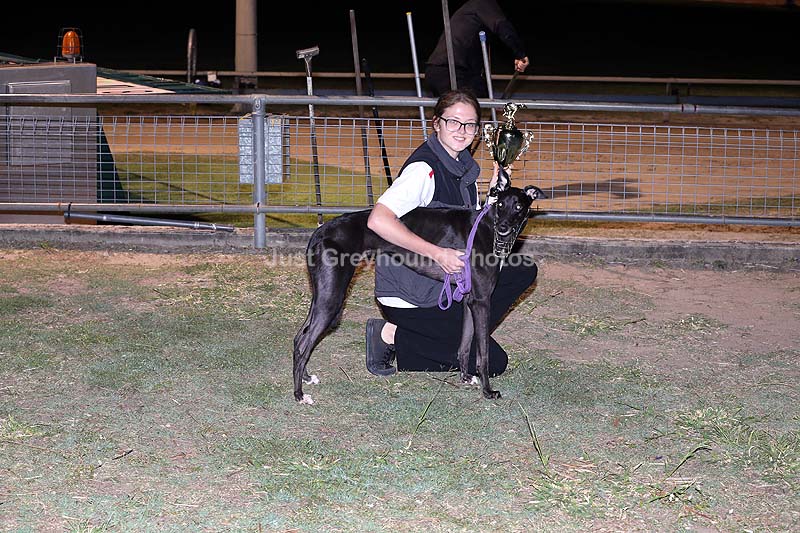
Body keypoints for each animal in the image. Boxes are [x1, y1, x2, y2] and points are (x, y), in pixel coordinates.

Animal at [292, 180, 546, 404]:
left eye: (518, 206)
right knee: (304, 343)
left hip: (323, 294)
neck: (487, 226)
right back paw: (299, 394)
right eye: (500, 204)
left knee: (299, 338)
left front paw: (465, 378)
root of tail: (320, 231)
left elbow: (465, 345)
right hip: (332, 298)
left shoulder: (469, 299)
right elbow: (483, 352)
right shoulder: (482, 300)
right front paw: (488, 391)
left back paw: (306, 377)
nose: (502, 228)